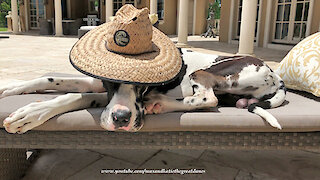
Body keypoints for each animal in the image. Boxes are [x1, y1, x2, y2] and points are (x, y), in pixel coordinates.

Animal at [0, 48, 284, 133]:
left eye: (142, 84)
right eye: (112, 81)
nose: (121, 119)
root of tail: (276, 77)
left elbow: (75, 97)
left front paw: (31, 114)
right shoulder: (97, 82)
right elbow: (47, 79)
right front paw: (9, 87)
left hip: (207, 71)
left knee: (207, 97)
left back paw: (158, 103)